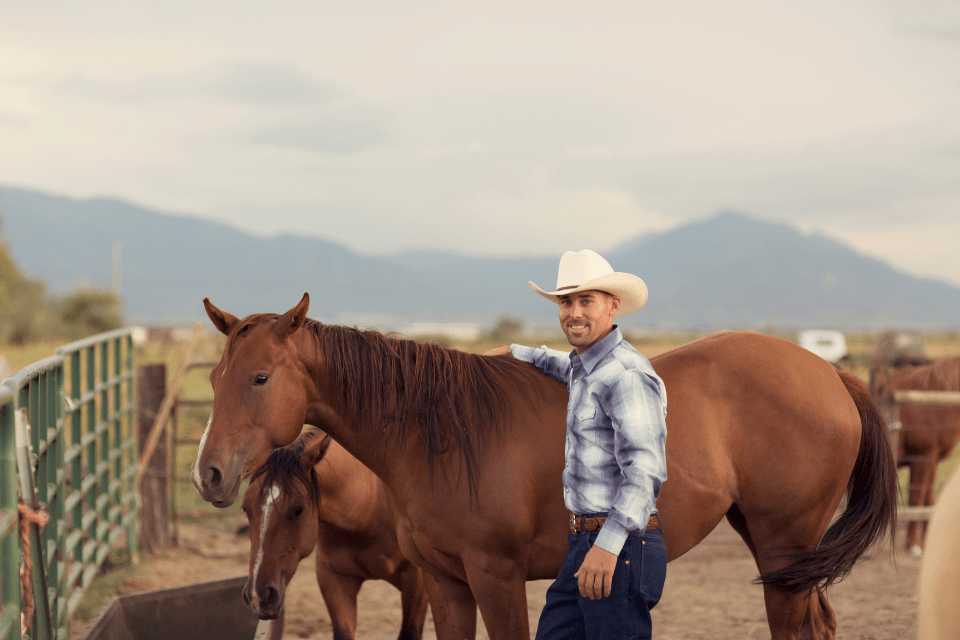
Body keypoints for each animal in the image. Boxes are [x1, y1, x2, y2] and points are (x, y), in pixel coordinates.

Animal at [240, 424, 428, 640]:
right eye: (245, 508)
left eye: (299, 509)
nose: (259, 596)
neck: (370, 505)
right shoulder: (334, 579)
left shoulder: (418, 582)